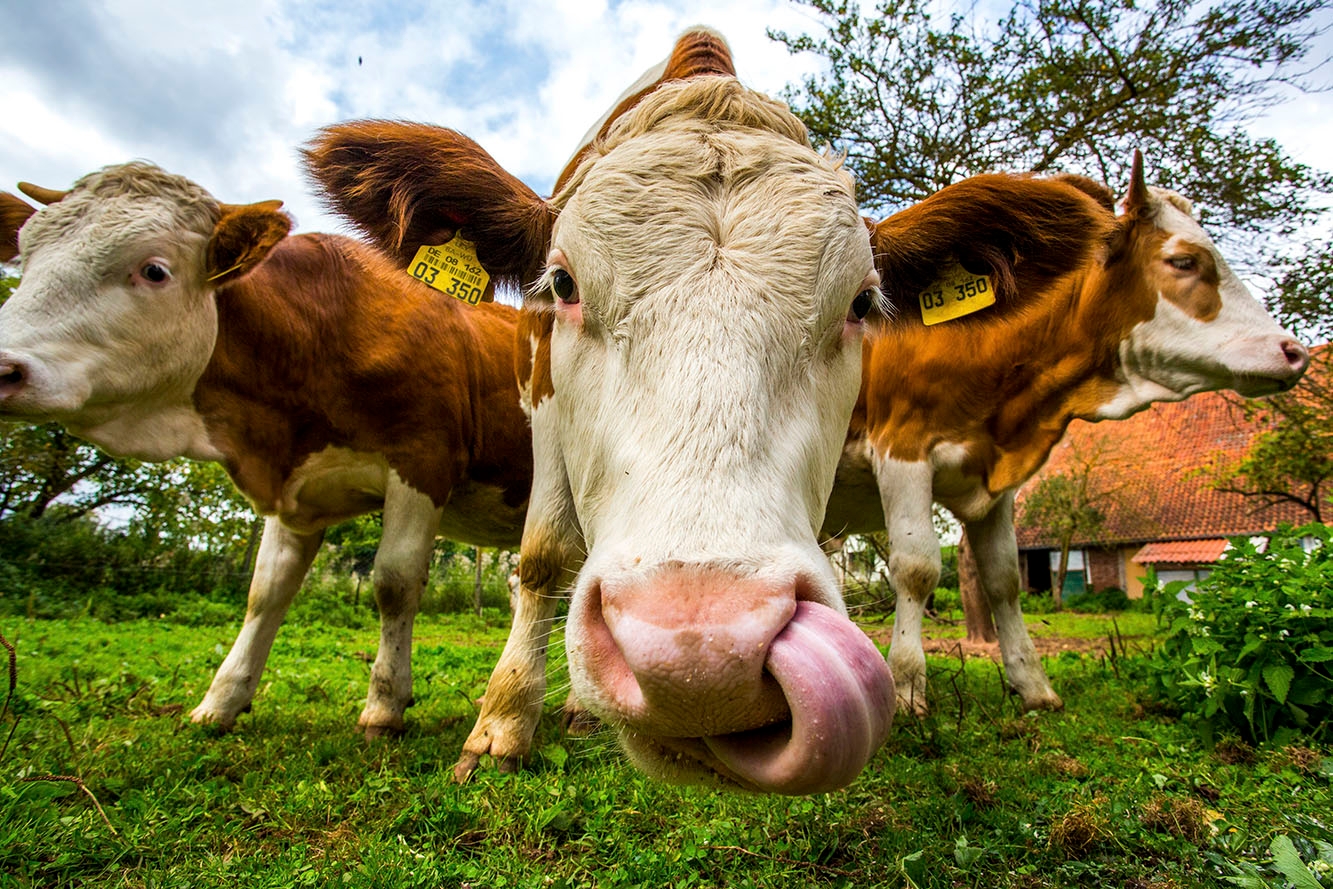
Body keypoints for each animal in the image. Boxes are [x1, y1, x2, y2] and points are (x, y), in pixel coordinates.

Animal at [0, 165, 532, 738]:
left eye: (154, 270)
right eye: (25, 259)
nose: (4, 368)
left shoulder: (422, 460)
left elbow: (394, 582)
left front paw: (385, 706)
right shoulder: (297, 486)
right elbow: (265, 591)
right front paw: (221, 702)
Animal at [304, 27, 1115, 793]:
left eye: (861, 303)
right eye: (563, 284)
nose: (699, 654)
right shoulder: (540, 399)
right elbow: (541, 556)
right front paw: (501, 724)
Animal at [822, 155, 1310, 715]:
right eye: (1184, 261)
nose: (1293, 352)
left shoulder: (995, 478)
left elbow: (1004, 579)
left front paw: (1032, 685)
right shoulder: (903, 450)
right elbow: (917, 568)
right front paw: (907, 692)